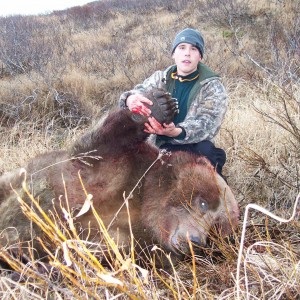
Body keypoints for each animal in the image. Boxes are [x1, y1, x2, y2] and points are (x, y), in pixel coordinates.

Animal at [0, 88, 239, 260]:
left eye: (216, 229)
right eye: (203, 202)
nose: (196, 241)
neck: (142, 200)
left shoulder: (133, 239)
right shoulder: (109, 165)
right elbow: (105, 136)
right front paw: (159, 105)